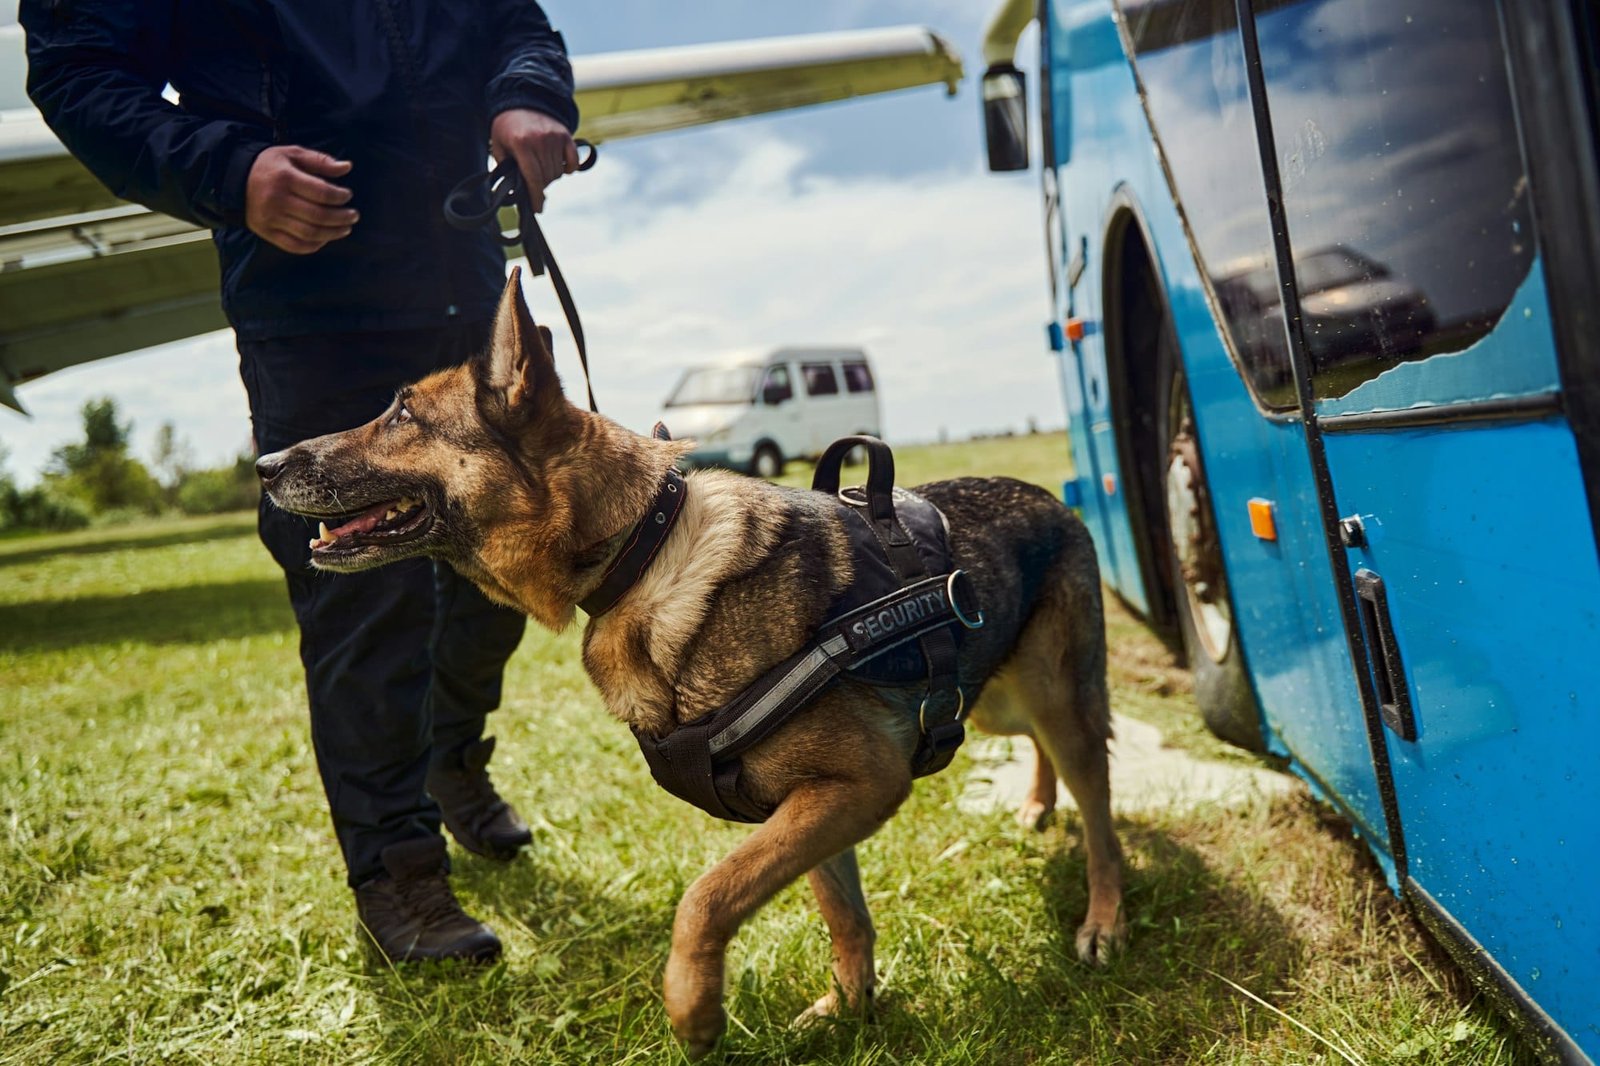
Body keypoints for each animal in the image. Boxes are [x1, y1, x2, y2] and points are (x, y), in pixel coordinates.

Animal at [259, 270, 1126, 1049]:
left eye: (402, 412)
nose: (265, 466)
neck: (640, 553)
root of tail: (1048, 495)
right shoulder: (814, 804)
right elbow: (843, 916)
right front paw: (849, 1009)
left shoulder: (860, 786)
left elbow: (707, 896)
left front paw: (693, 1009)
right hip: (997, 702)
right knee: (1044, 756)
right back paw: (1037, 805)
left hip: (1058, 701)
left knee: (1101, 812)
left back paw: (1104, 921)